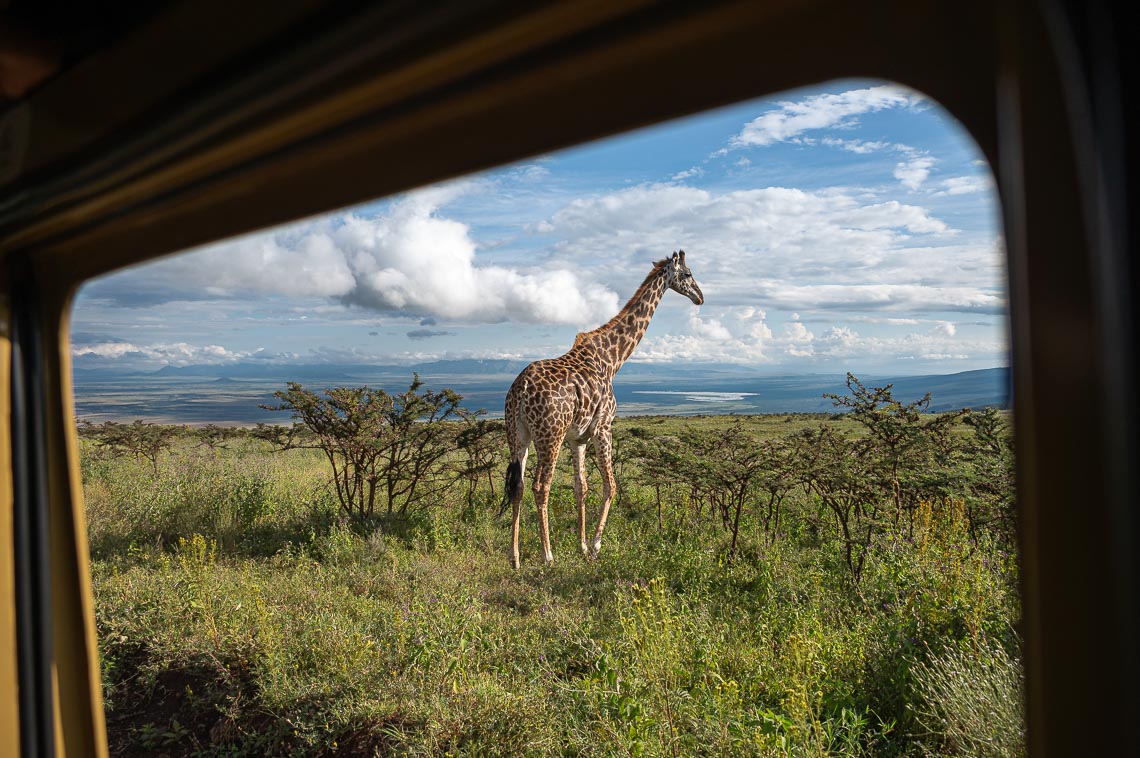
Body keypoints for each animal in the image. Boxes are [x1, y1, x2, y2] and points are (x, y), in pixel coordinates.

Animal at [506, 250, 702, 565]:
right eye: (687, 274)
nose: (700, 297)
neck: (612, 359)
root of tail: (520, 389)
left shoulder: (578, 438)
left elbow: (581, 488)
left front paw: (583, 545)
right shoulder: (603, 427)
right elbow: (610, 486)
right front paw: (596, 546)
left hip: (517, 435)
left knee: (519, 486)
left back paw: (515, 558)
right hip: (550, 435)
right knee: (541, 486)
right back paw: (548, 555)